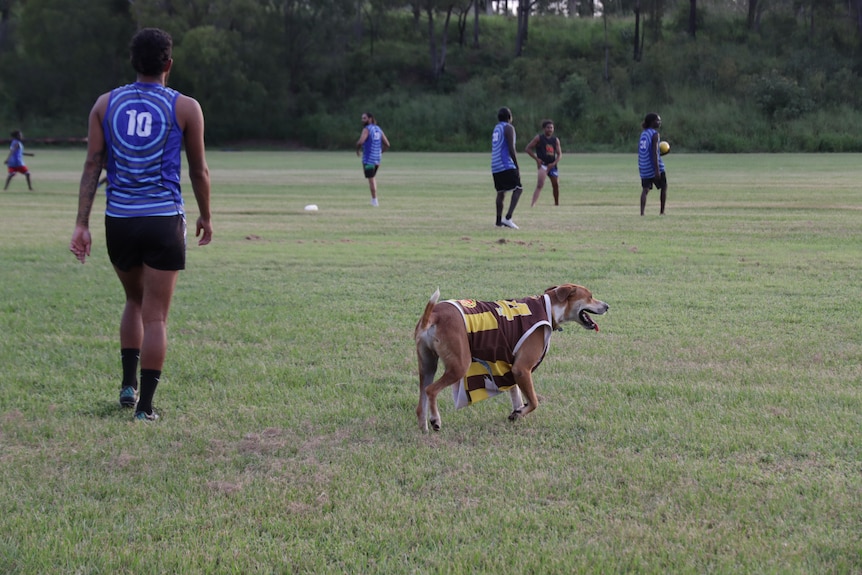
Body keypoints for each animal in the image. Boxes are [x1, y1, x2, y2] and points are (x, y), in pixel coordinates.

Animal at [414, 284, 608, 432]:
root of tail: (434, 314)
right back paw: (435, 421)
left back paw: (424, 429)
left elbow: (518, 398)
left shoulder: (510, 370)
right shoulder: (522, 369)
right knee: (431, 390)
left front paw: (517, 413)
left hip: (427, 366)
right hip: (459, 365)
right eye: (590, 297)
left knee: (421, 401)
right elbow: (534, 401)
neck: (549, 308)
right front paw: (520, 413)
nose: (607, 306)